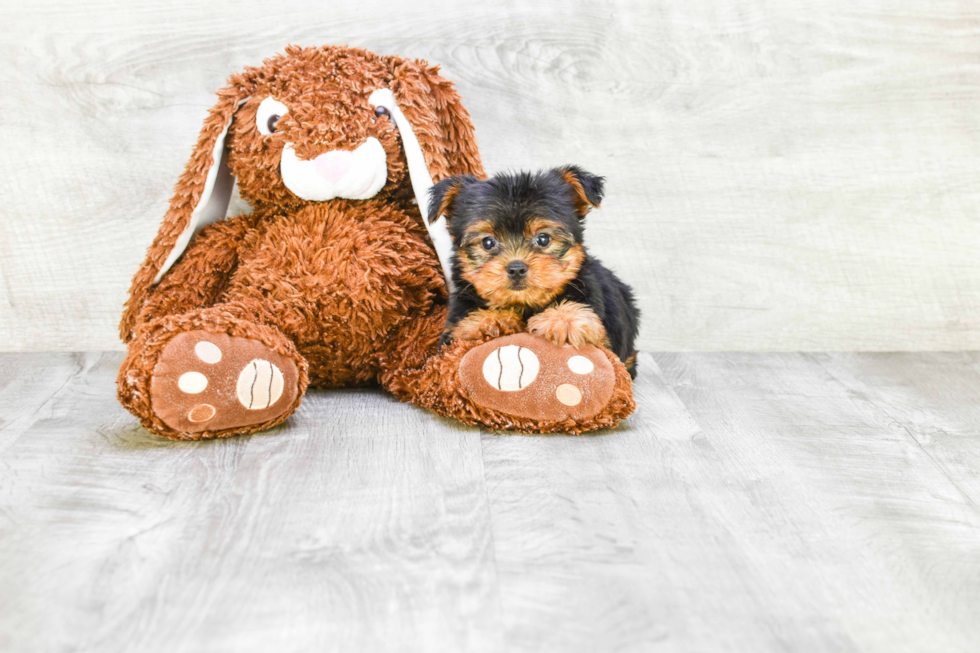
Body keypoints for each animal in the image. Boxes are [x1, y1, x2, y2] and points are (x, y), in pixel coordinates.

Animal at [428, 166, 644, 374]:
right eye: (487, 242)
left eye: (543, 239)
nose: (516, 268)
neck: (524, 304)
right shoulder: (452, 331)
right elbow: (460, 334)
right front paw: (487, 322)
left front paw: (564, 320)